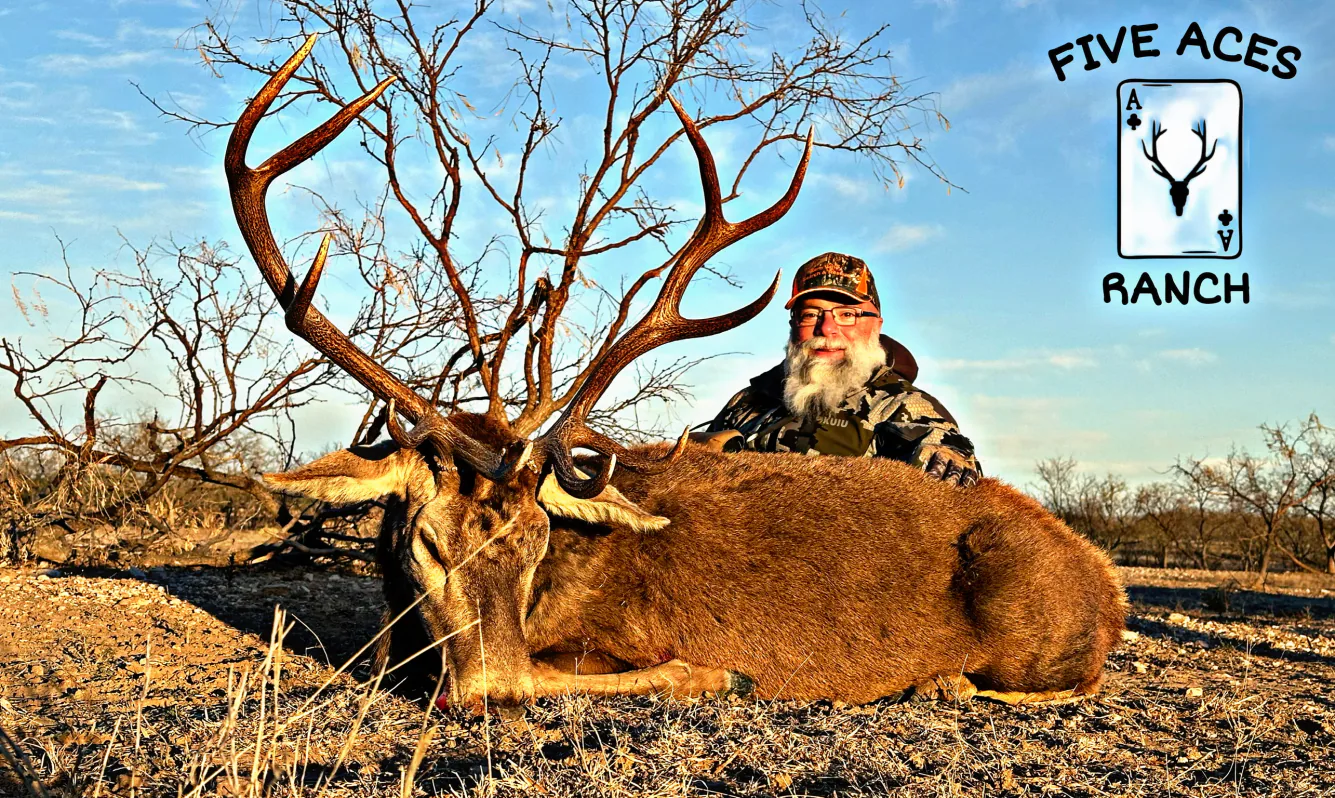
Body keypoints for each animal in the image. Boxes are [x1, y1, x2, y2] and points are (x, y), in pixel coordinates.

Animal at [228, 36, 1128, 710]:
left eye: (536, 539)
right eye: (423, 540)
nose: (493, 691)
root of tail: (1108, 586)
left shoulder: (610, 640)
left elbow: (628, 672)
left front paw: (719, 671)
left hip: (1039, 643)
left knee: (1063, 682)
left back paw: (941, 681)